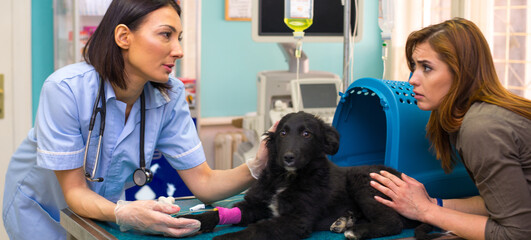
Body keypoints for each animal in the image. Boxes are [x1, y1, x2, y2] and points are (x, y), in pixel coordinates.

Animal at [184, 112, 436, 240]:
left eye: (307, 134)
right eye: (283, 133)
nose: (288, 157)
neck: (286, 178)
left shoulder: (297, 220)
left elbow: (258, 229)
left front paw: (225, 239)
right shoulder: (254, 205)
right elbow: (218, 213)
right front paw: (195, 220)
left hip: (363, 180)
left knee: (393, 222)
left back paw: (355, 230)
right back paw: (345, 220)